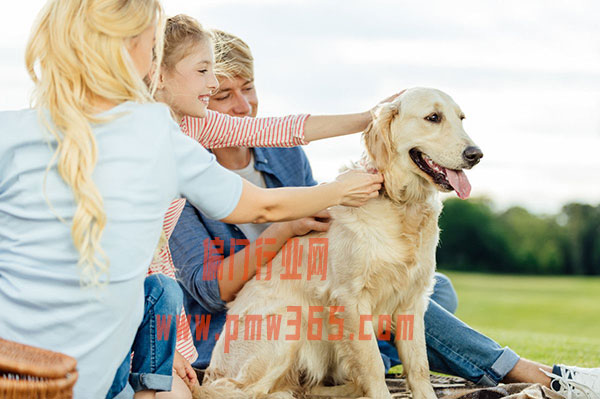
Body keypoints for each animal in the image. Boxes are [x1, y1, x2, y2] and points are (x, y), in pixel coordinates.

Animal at [195, 89, 480, 399]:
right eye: (433, 117)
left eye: (462, 118)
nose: (476, 154)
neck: (400, 203)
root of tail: (209, 373)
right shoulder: (351, 298)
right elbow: (373, 364)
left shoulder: (412, 299)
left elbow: (419, 367)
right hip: (286, 321)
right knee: (242, 390)